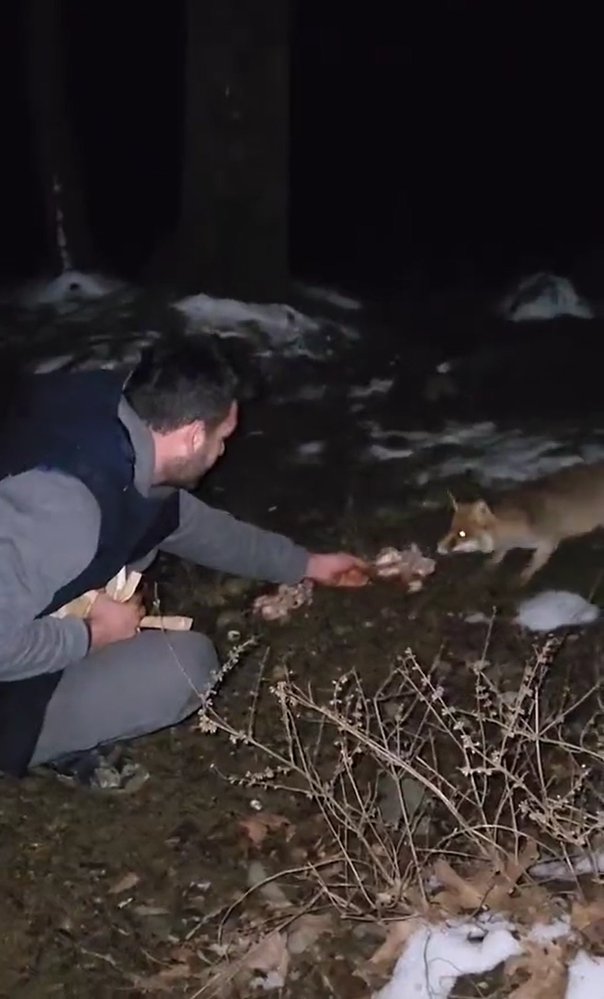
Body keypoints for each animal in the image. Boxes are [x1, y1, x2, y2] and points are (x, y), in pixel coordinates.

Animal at [438, 462, 604, 584]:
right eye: (450, 529)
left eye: (462, 534)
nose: (438, 548)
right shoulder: (507, 545)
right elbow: (497, 556)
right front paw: (488, 566)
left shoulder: (549, 541)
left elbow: (533, 564)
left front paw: (522, 578)